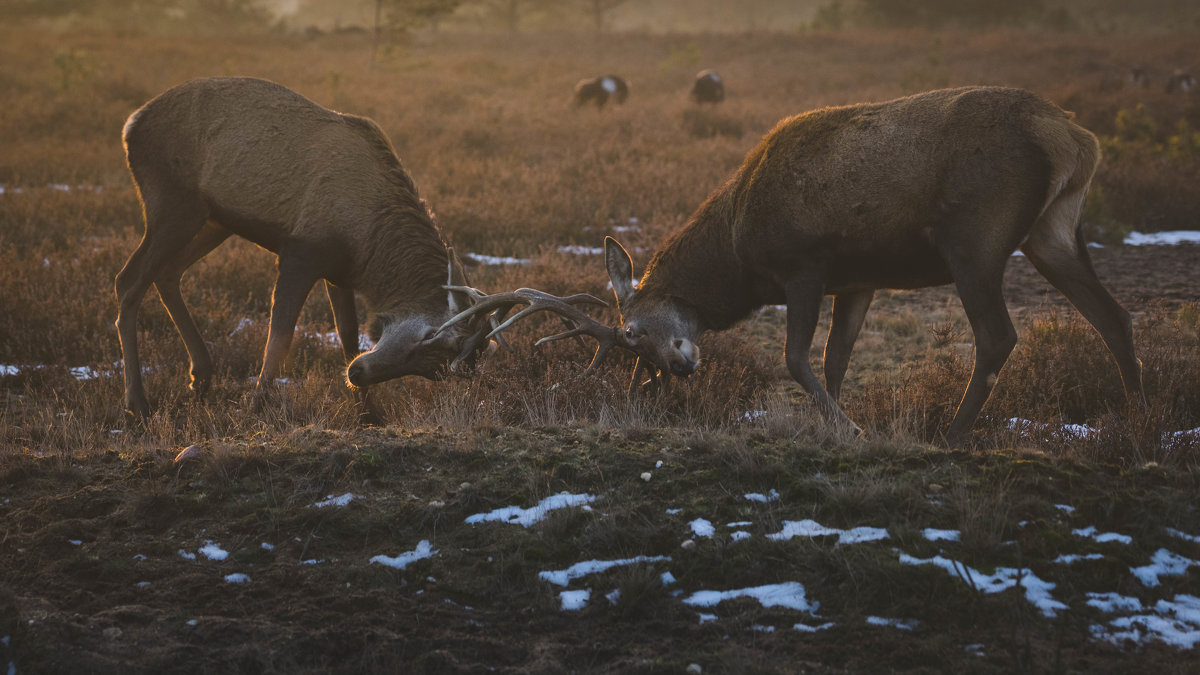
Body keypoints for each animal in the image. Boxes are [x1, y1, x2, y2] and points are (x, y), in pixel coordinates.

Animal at [115, 76, 496, 417]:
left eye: (437, 369)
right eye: (432, 334)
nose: (359, 373)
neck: (369, 245)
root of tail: (130, 126)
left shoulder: (339, 271)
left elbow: (346, 334)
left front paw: (368, 412)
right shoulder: (301, 251)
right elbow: (281, 334)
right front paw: (256, 407)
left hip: (213, 221)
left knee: (167, 272)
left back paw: (200, 377)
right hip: (171, 203)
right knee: (128, 279)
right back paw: (137, 402)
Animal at [448, 86, 1142, 444]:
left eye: (634, 333)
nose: (679, 367)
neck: (738, 252)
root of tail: (1075, 138)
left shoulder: (804, 264)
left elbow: (795, 359)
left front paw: (851, 428)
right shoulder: (858, 280)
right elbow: (836, 360)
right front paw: (834, 424)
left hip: (975, 239)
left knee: (999, 335)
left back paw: (951, 434)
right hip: (1054, 231)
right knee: (1115, 315)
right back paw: (1139, 423)